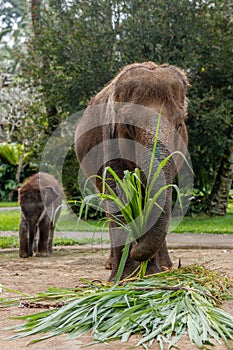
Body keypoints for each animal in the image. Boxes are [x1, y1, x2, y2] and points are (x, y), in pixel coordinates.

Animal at [74, 62, 189, 282]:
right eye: (128, 125)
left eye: (179, 124)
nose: (137, 250)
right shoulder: (108, 137)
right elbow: (117, 192)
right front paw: (123, 277)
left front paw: (151, 272)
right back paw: (112, 265)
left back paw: (165, 266)